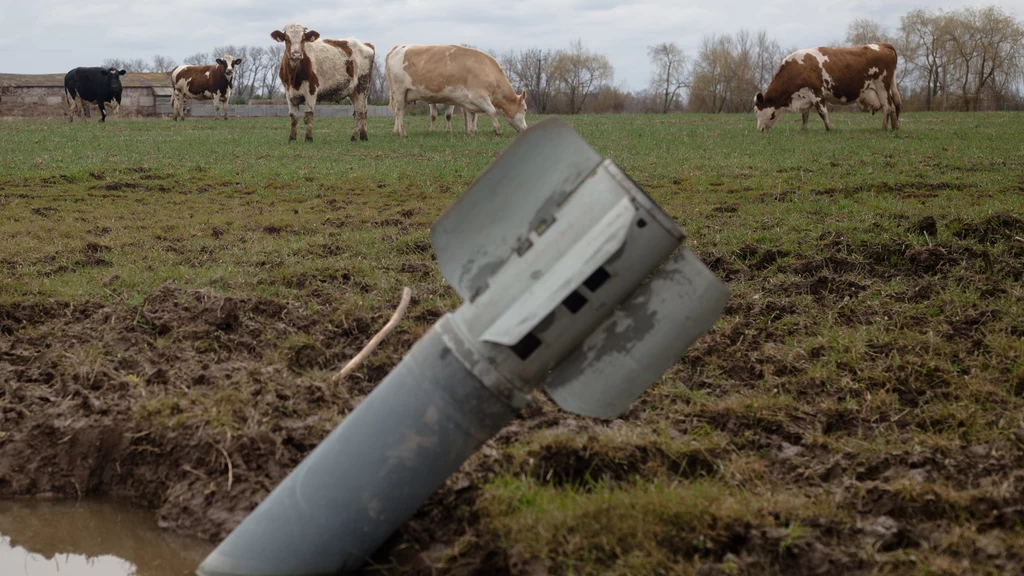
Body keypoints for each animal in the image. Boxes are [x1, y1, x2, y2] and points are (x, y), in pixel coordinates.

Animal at [385, 44, 528, 136]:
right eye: (525, 109)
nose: (526, 128)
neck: (487, 70)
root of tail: (397, 48)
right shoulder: (479, 97)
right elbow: (492, 111)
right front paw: (498, 130)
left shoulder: (469, 102)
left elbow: (471, 116)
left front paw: (470, 132)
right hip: (399, 91)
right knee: (399, 111)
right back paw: (402, 132)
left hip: (406, 95)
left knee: (400, 111)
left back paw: (398, 130)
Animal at [753, 42, 905, 132]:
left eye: (756, 110)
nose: (759, 129)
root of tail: (881, 44)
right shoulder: (805, 97)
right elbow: (805, 116)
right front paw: (803, 129)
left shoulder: (816, 94)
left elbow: (822, 113)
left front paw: (829, 128)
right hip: (887, 88)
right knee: (893, 106)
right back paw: (895, 126)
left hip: (882, 86)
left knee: (887, 106)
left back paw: (884, 127)